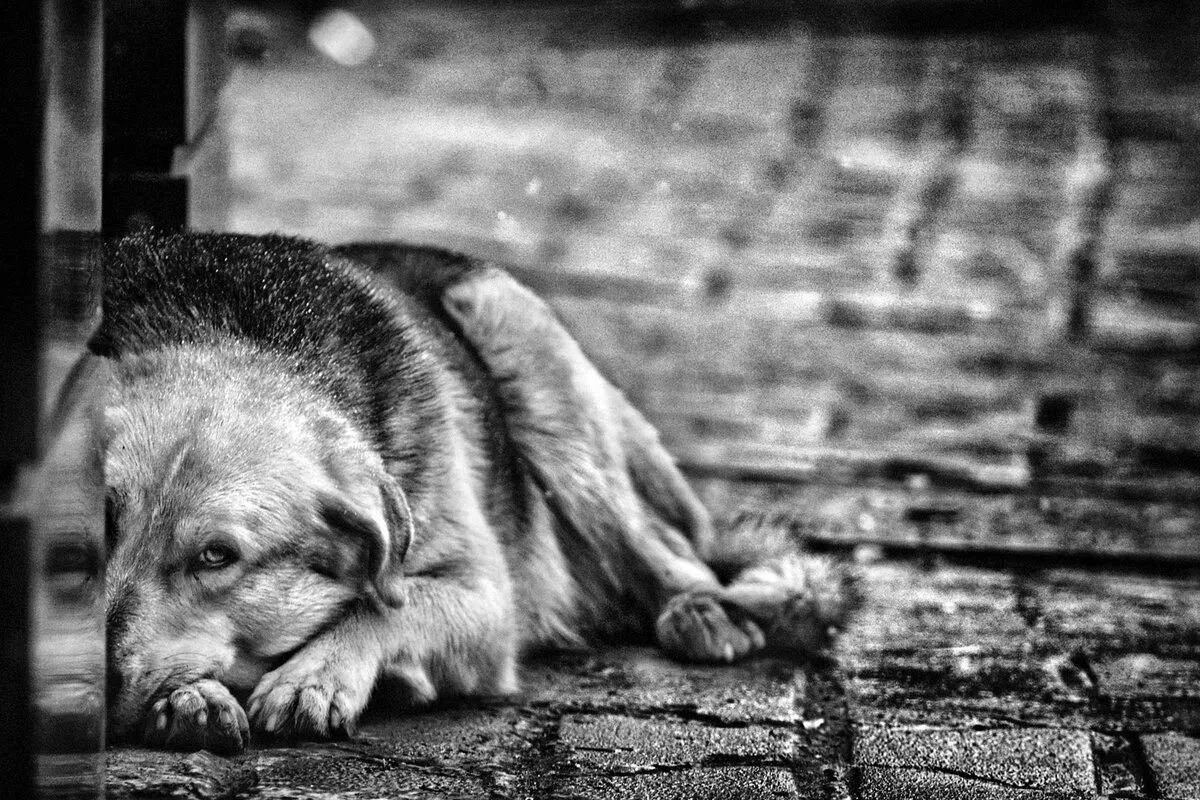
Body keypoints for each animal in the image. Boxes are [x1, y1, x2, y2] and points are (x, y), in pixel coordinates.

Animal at [44, 227, 854, 753]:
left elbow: (386, 607)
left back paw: (699, 611)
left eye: (217, 557)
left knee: (672, 554)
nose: (87, 693)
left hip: (529, 364)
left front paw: (317, 675)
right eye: (97, 522)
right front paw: (191, 696)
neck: (241, 332)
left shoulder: (487, 599)